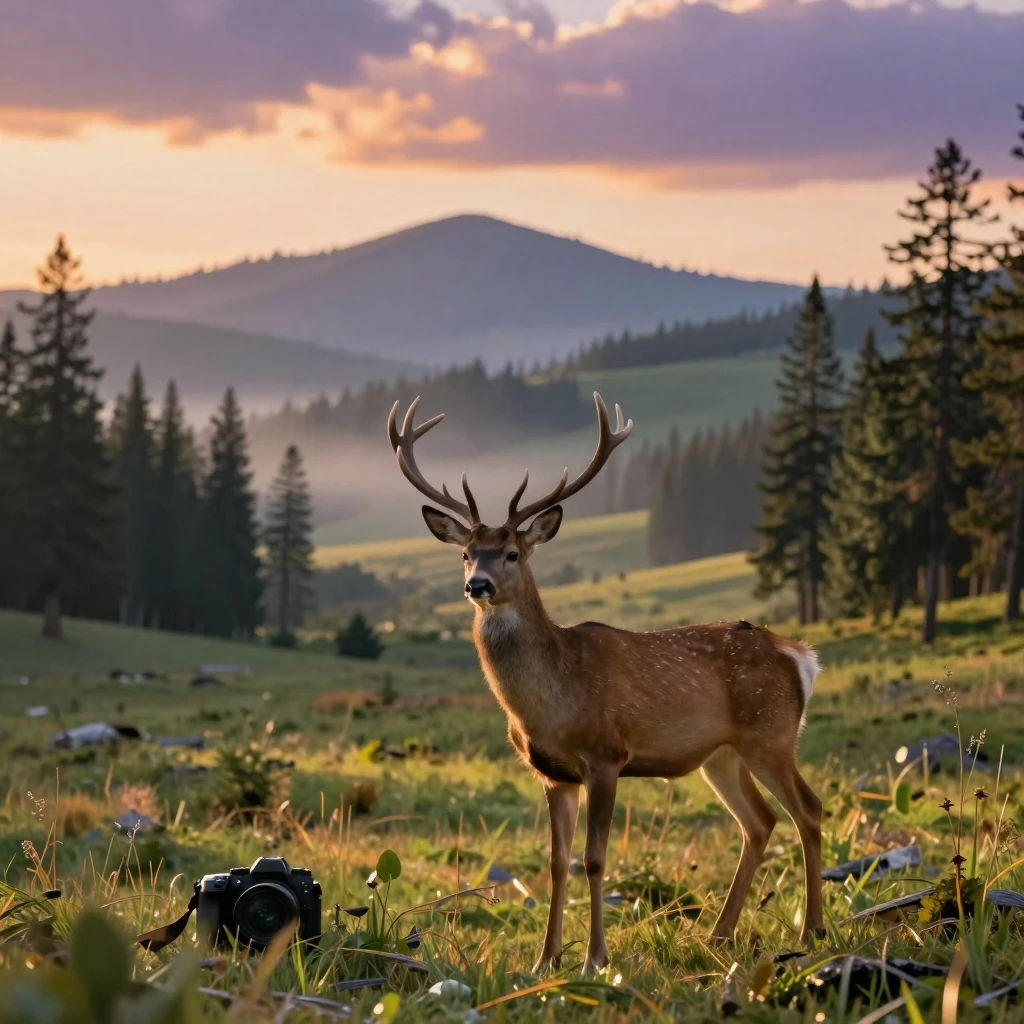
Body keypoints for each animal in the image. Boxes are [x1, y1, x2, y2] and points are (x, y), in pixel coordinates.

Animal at [387, 392, 824, 975]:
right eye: (465, 553)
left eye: (512, 553)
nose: (476, 584)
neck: (553, 701)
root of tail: (801, 656)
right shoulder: (552, 773)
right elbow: (556, 862)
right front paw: (545, 961)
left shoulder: (606, 756)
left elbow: (594, 859)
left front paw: (596, 958)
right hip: (722, 755)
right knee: (760, 822)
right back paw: (719, 935)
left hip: (771, 734)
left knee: (808, 811)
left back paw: (813, 928)